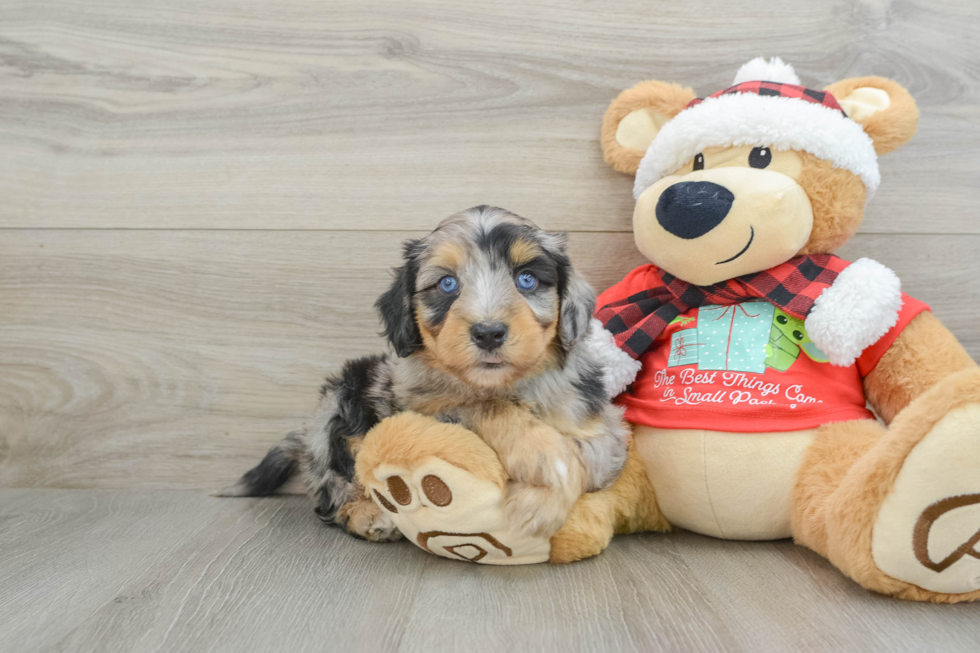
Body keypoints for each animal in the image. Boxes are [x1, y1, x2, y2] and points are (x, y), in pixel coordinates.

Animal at [219, 206, 628, 544]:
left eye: (526, 279)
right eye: (447, 284)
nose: (489, 333)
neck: (503, 385)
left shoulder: (604, 431)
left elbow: (589, 457)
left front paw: (543, 494)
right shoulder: (422, 411)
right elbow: (486, 407)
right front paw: (542, 459)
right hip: (339, 401)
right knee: (334, 486)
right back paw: (366, 514)